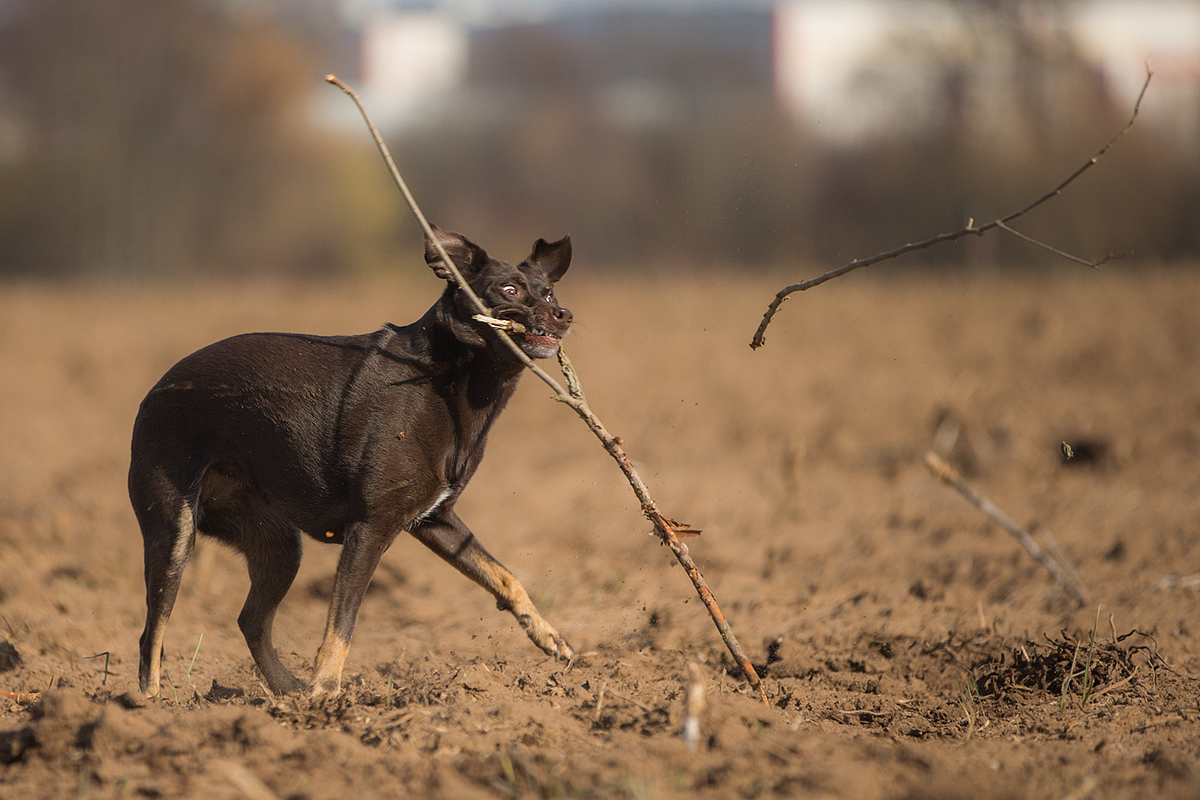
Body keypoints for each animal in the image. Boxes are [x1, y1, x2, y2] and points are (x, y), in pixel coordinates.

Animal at [130, 225, 576, 695]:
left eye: (548, 292)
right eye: (509, 290)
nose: (563, 314)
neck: (449, 380)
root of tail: (155, 391)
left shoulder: (435, 519)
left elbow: (506, 577)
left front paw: (549, 636)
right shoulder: (370, 528)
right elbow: (341, 623)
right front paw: (327, 689)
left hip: (278, 543)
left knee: (250, 620)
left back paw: (287, 692)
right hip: (174, 533)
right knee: (152, 634)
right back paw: (151, 704)